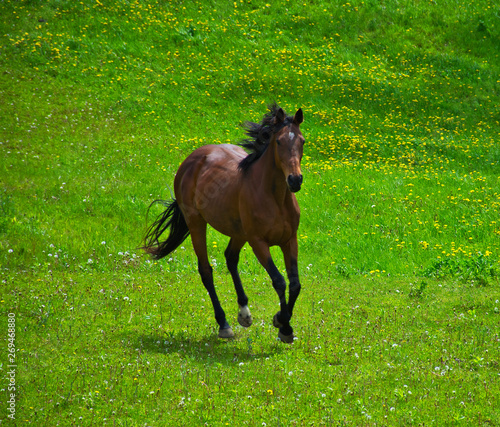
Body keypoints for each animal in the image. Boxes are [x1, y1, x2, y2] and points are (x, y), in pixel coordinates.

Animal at [142, 104, 304, 344]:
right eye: (279, 142)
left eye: (302, 141)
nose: (295, 180)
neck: (275, 198)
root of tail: (192, 159)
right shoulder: (258, 242)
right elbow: (279, 281)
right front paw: (283, 325)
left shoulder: (289, 240)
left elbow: (295, 284)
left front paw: (282, 323)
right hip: (196, 223)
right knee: (206, 270)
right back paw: (224, 324)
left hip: (238, 232)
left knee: (230, 257)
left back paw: (244, 313)